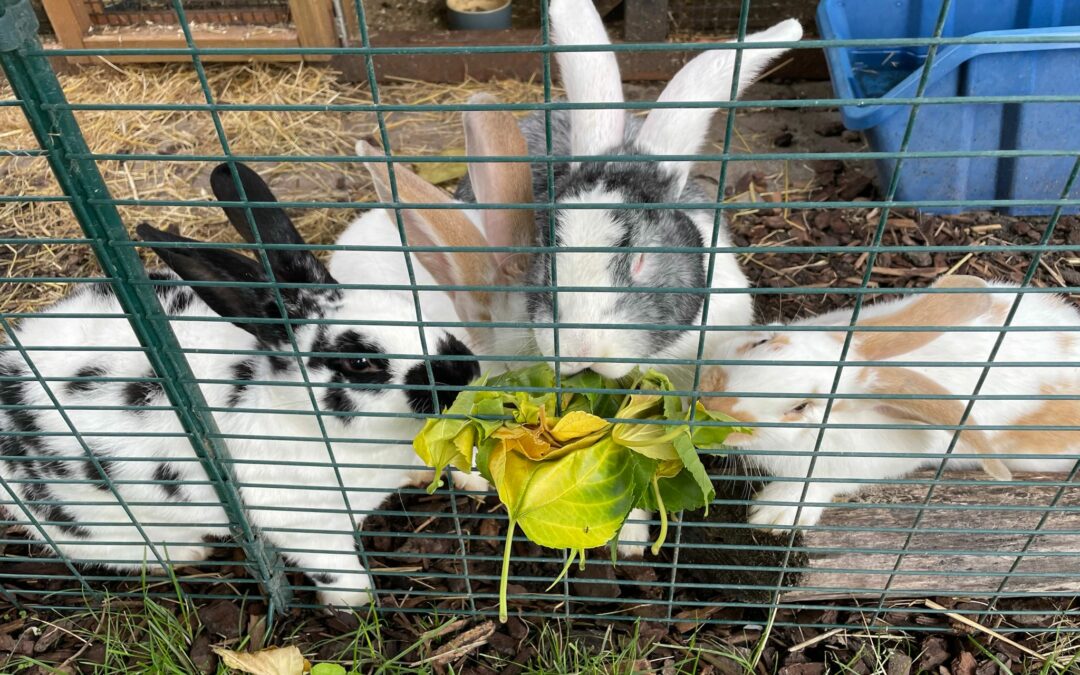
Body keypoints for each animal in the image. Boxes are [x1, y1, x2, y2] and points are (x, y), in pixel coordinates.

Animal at [0, 162, 481, 604]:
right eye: (359, 361)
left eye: (409, 307)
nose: (463, 371)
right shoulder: (305, 528)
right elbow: (335, 570)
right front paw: (357, 604)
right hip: (91, 523)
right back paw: (189, 556)